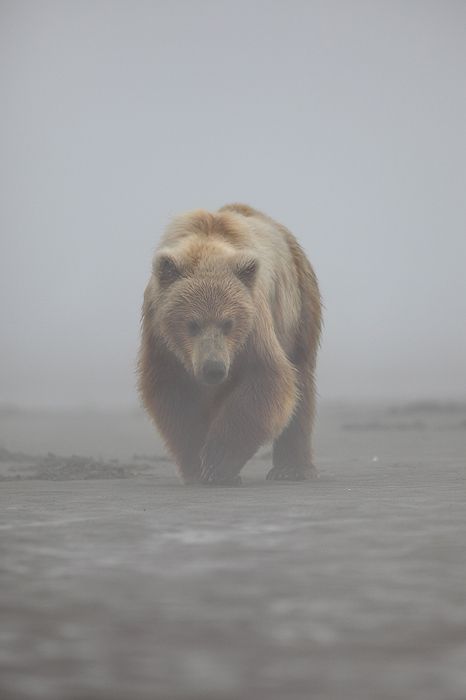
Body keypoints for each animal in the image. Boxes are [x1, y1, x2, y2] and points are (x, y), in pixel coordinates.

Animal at [137, 205, 322, 484]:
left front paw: (217, 463)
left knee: (301, 379)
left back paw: (290, 468)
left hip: (298, 306)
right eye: (192, 324)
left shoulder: (254, 324)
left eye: (228, 323)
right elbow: (173, 394)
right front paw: (196, 466)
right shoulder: (160, 337)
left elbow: (266, 379)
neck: (206, 245)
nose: (213, 368)